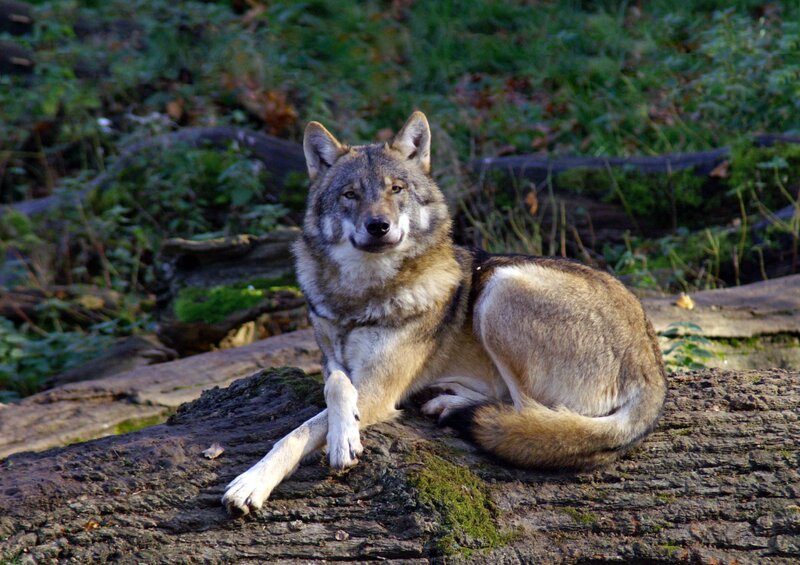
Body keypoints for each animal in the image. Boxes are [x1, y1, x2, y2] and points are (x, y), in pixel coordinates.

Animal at [222, 112, 667, 515]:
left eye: (396, 189)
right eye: (350, 194)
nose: (378, 225)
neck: (361, 294)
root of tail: (654, 369)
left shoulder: (380, 388)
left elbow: (303, 429)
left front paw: (263, 477)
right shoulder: (335, 362)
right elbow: (335, 386)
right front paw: (336, 433)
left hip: (500, 287)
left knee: (530, 414)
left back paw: (454, 406)